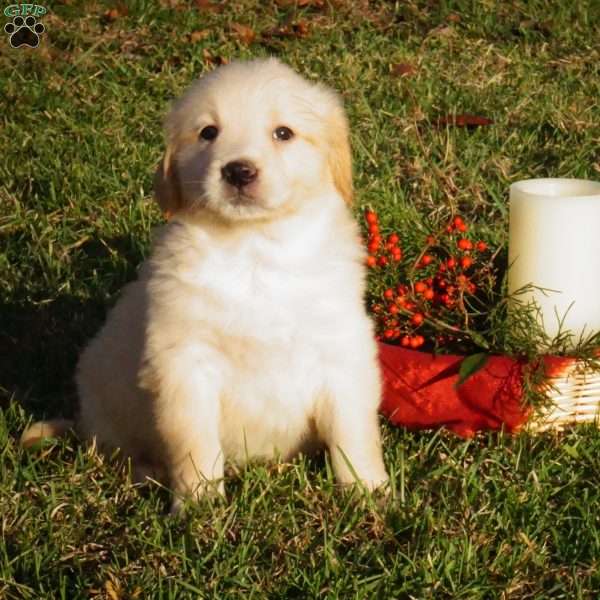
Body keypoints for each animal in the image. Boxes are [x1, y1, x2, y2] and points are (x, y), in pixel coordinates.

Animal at [22, 57, 390, 510]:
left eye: (283, 133)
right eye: (208, 132)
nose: (238, 171)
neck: (254, 249)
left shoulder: (341, 350)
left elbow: (353, 432)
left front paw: (368, 492)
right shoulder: (184, 363)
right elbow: (193, 441)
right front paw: (200, 505)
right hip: (102, 398)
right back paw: (148, 473)